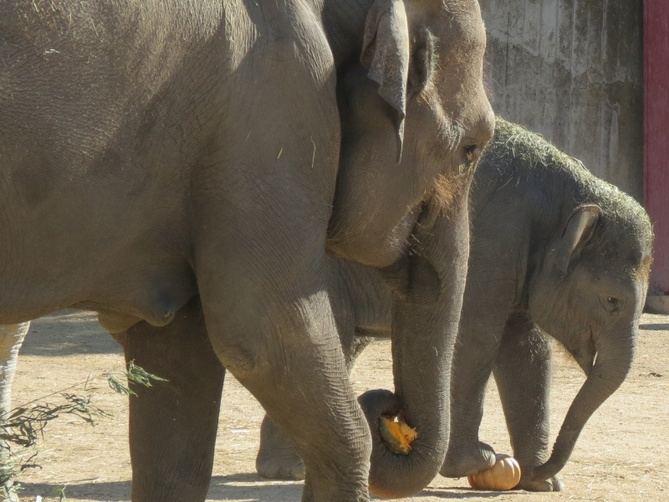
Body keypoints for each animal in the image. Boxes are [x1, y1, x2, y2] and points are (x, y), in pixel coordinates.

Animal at [256, 117, 652, 490]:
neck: (566, 198)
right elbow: (476, 338)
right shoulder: (491, 243)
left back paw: (287, 468)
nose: (539, 469)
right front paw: (479, 462)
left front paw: (541, 483)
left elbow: (527, 351)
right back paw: (289, 470)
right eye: (612, 301)